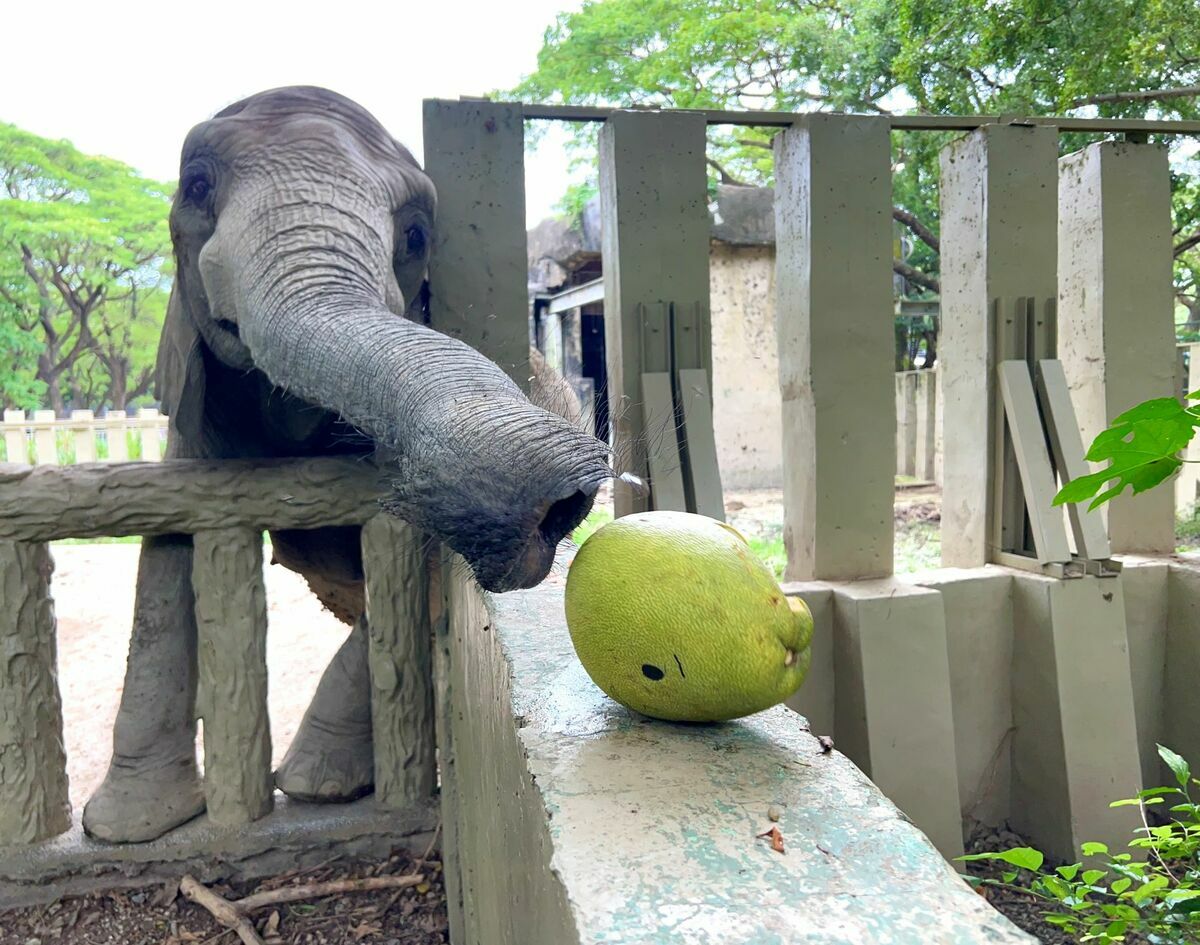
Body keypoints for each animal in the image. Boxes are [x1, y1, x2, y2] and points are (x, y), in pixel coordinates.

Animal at [81, 86, 609, 843]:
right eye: (197, 186)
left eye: (415, 236)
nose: (561, 504)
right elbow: (168, 555)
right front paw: (125, 828)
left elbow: (415, 566)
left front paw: (318, 785)